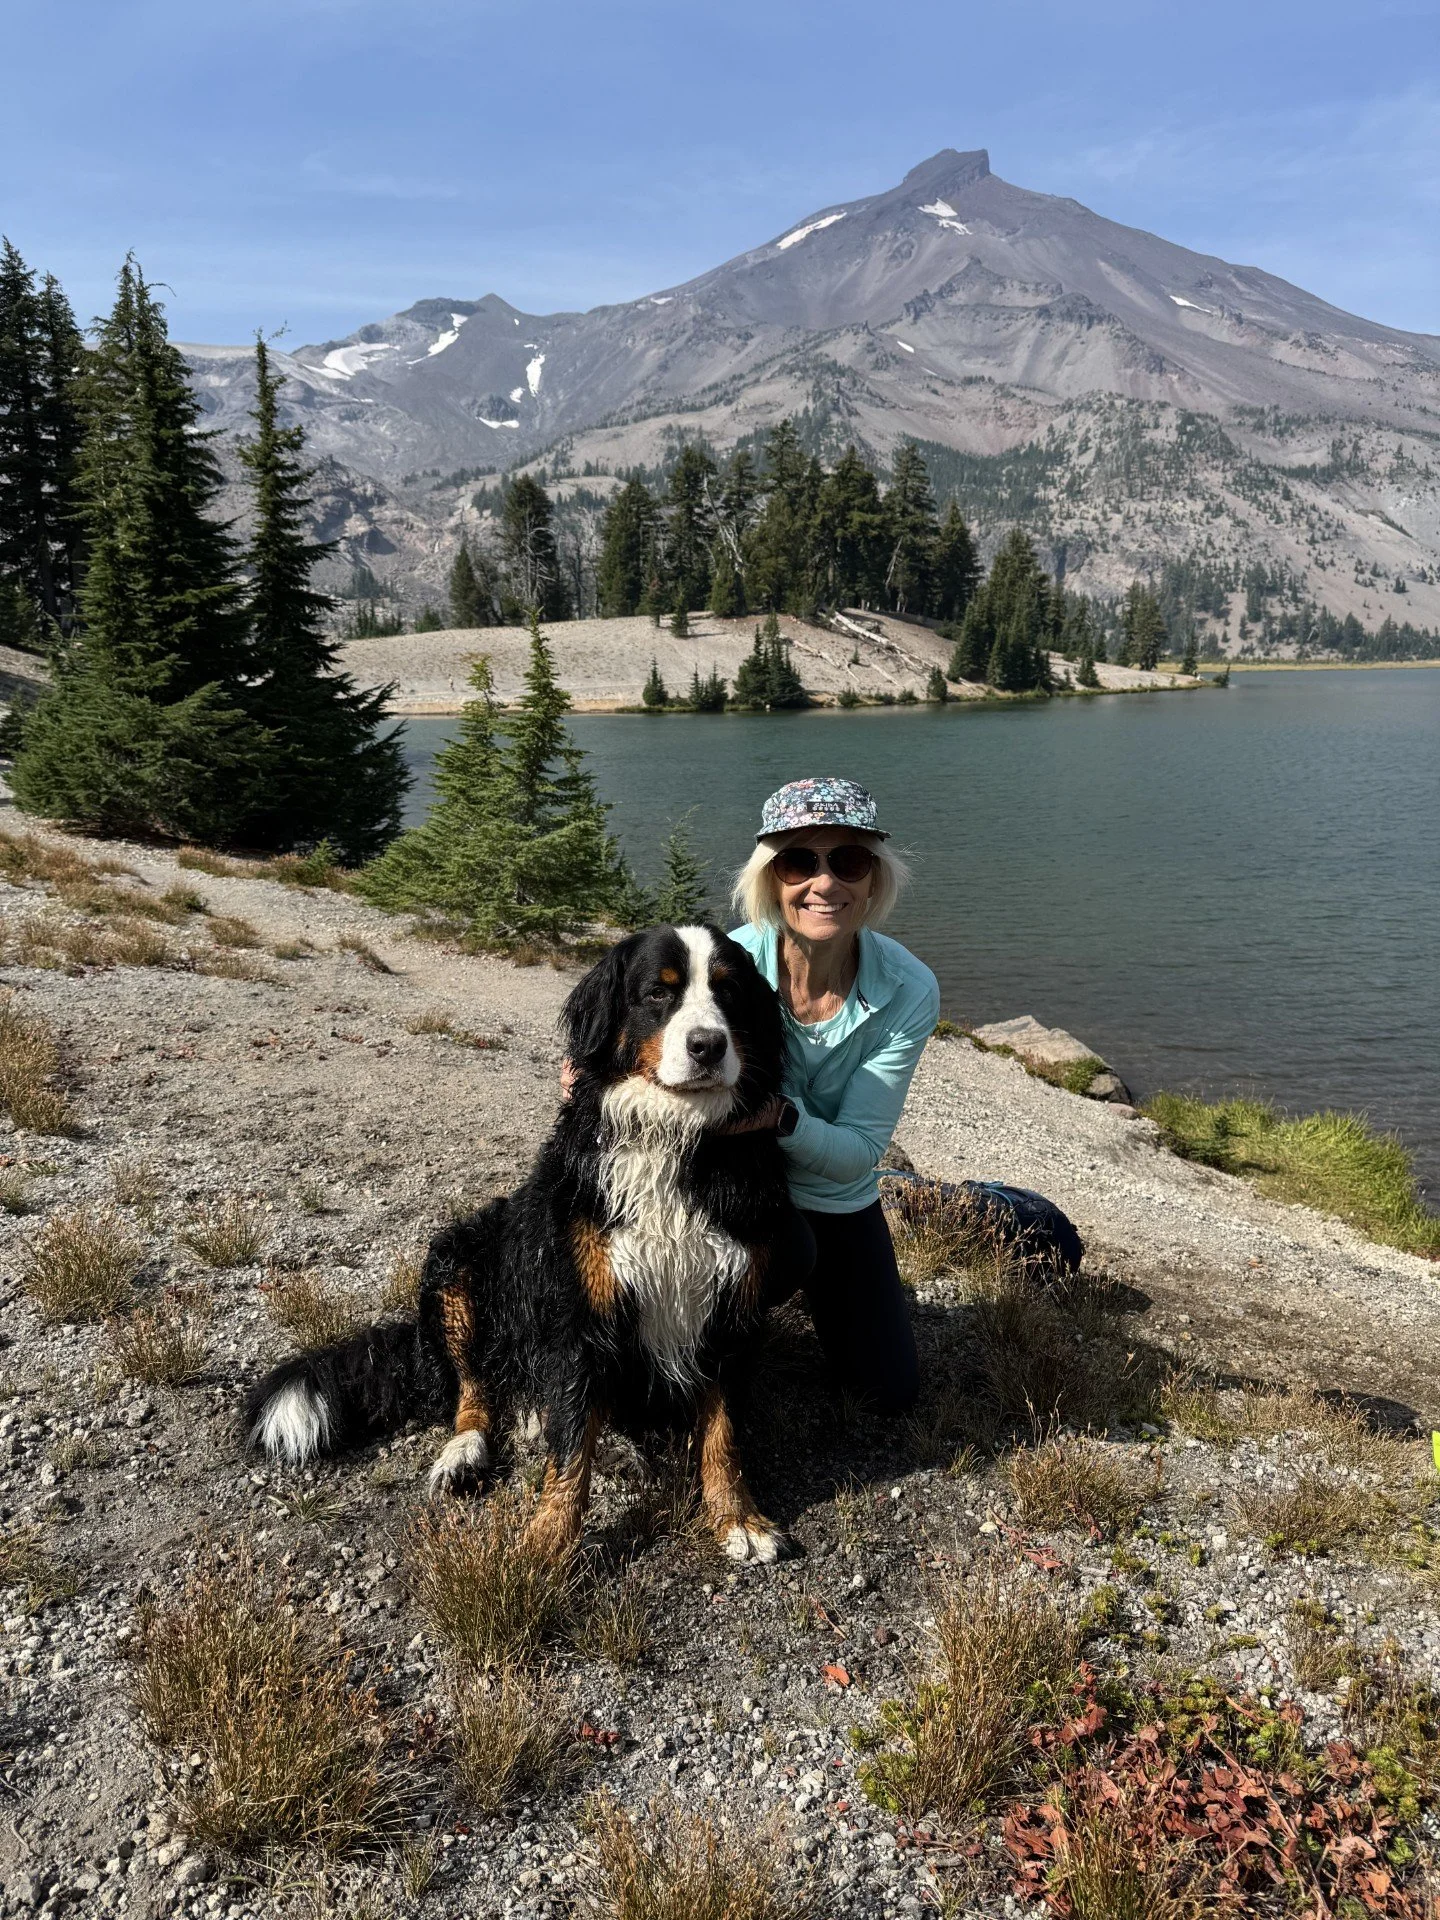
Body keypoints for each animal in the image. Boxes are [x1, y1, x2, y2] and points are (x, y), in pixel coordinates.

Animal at [245, 924, 801, 1563]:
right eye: (658, 994)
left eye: (729, 993)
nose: (708, 1045)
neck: (675, 1137)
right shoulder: (582, 1307)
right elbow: (570, 1449)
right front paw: (546, 1542)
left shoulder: (732, 1306)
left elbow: (722, 1432)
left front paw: (739, 1518)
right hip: (460, 1264)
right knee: (477, 1388)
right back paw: (467, 1452)